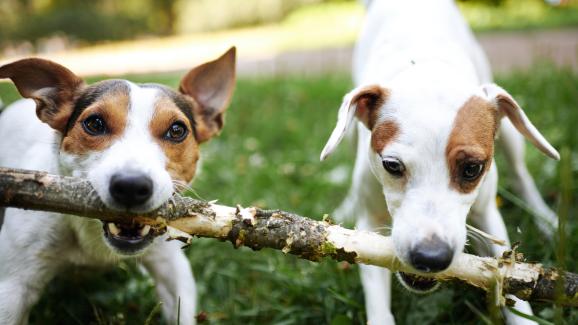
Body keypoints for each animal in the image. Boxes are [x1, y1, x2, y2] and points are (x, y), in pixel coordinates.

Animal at [320, 1, 560, 322]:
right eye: (392, 166)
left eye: (472, 169)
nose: (430, 257)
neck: (425, 66)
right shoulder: (369, 224)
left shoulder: (488, 214)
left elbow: (507, 274)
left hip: (510, 130)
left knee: (522, 174)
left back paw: (546, 219)